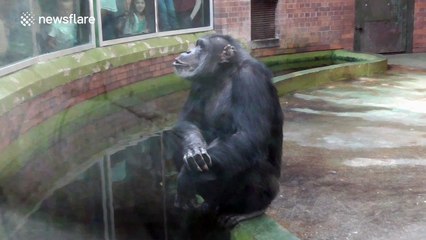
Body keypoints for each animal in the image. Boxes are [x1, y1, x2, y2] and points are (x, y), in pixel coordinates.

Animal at [170, 34, 282, 233]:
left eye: (201, 47)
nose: (188, 51)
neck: (224, 74)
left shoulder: (250, 79)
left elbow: (248, 135)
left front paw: (187, 176)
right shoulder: (198, 84)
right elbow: (187, 121)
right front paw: (194, 148)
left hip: (267, 191)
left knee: (253, 165)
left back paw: (251, 211)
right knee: (177, 143)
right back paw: (209, 204)